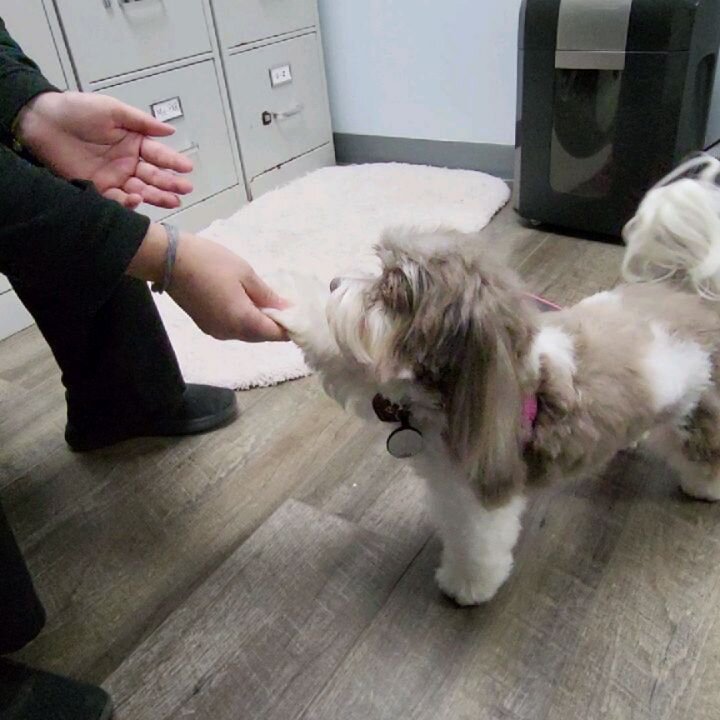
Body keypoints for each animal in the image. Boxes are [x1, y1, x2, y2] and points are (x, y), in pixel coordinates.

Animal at [268, 155, 720, 604]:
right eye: (380, 270)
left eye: (392, 291)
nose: (333, 282)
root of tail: (690, 295)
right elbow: (342, 355)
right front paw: (287, 300)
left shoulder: (483, 487)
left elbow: (476, 545)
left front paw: (466, 586)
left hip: (701, 403)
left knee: (702, 445)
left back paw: (704, 485)